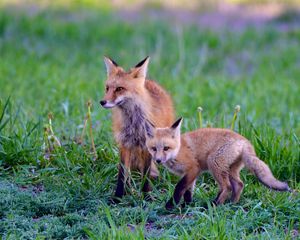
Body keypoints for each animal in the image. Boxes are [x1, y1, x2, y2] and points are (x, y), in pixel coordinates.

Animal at [99, 57, 173, 202]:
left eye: (119, 89)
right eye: (107, 88)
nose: (102, 102)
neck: (134, 123)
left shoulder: (148, 145)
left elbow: (146, 173)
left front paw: (146, 196)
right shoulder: (125, 143)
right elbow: (122, 174)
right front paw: (118, 197)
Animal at [145, 119, 290, 209]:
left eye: (166, 148)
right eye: (153, 149)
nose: (158, 160)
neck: (178, 150)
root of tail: (244, 141)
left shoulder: (193, 168)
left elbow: (179, 187)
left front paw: (171, 205)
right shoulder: (190, 174)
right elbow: (188, 191)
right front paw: (186, 205)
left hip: (213, 163)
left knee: (227, 187)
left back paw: (215, 205)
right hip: (230, 170)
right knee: (239, 184)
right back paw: (232, 203)